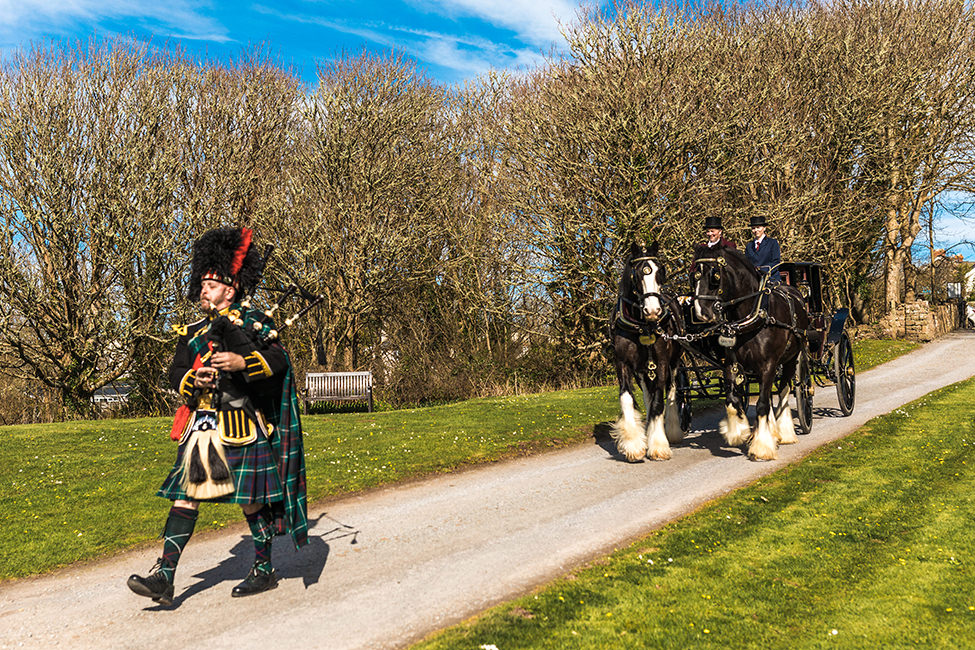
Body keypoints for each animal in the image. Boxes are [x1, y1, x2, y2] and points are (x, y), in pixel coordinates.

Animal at [608, 242, 688, 460]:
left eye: (661, 272)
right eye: (637, 275)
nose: (653, 311)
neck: (641, 326)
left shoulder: (661, 363)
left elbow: (659, 401)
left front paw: (658, 445)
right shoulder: (623, 363)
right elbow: (627, 398)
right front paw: (634, 444)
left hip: (673, 363)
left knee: (671, 391)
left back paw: (672, 430)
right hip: (642, 371)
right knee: (647, 396)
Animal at [692, 243, 812, 460]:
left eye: (714, 276)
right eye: (694, 276)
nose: (700, 313)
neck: (753, 315)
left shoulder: (768, 364)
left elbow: (763, 403)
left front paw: (762, 447)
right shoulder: (731, 365)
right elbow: (732, 400)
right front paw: (739, 432)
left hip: (790, 359)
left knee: (783, 389)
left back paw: (785, 433)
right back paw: (774, 432)